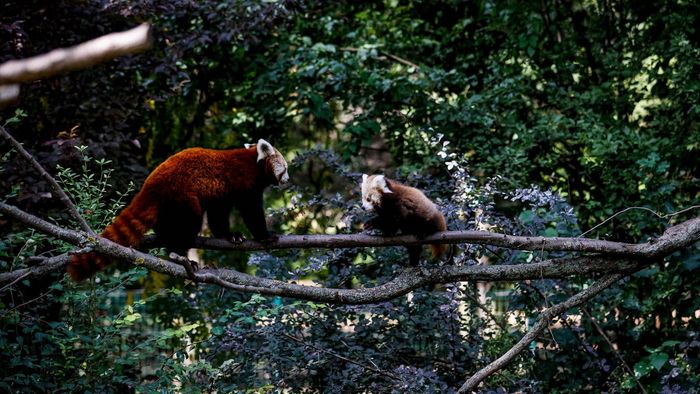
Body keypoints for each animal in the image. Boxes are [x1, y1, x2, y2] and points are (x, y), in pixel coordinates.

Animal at [69, 139, 290, 280]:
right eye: (285, 169)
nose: (287, 179)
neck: (254, 162)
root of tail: (151, 183)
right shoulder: (245, 183)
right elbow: (252, 212)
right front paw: (266, 236)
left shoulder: (221, 193)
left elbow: (219, 215)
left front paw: (229, 235)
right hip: (181, 195)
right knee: (189, 223)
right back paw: (180, 255)